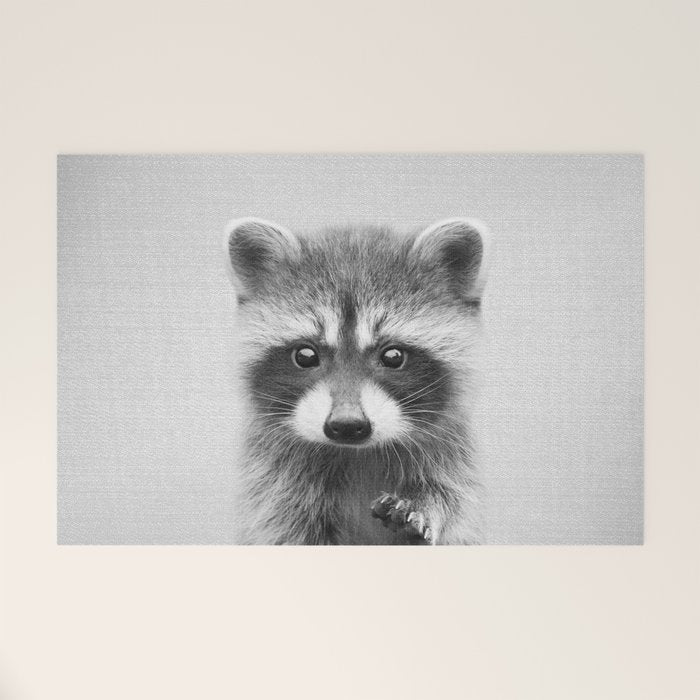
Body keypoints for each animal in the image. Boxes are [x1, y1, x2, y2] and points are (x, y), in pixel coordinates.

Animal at [224, 216, 491, 545]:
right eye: (305, 355)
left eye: (393, 356)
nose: (347, 425)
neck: (357, 453)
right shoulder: (273, 484)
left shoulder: (453, 462)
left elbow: (451, 502)